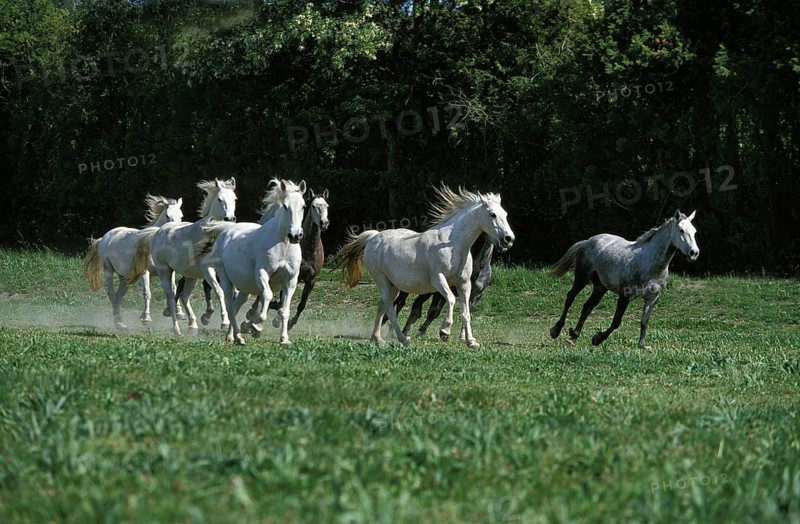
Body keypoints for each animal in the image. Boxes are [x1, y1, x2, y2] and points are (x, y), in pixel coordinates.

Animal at [83, 195, 183, 329]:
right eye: (168, 216)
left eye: (181, 215)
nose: (174, 231)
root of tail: (105, 237)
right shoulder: (144, 272)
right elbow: (147, 293)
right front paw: (146, 318)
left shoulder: (168, 270)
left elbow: (174, 289)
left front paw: (179, 313)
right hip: (108, 270)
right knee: (111, 294)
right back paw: (118, 321)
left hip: (124, 277)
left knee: (118, 296)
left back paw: (120, 322)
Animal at [128, 178, 237, 336]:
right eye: (219, 199)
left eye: (234, 198)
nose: (229, 218)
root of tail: (158, 232)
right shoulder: (207, 270)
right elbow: (219, 292)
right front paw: (224, 322)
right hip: (164, 271)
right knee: (170, 295)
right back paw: (173, 326)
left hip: (190, 275)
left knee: (184, 296)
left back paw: (192, 324)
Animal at [194, 179, 306, 345]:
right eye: (286, 206)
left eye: (303, 206)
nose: (295, 235)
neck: (283, 247)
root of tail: (226, 230)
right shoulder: (262, 273)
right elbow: (267, 296)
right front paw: (255, 327)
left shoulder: (291, 280)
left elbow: (284, 310)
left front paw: (284, 339)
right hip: (225, 279)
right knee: (230, 306)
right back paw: (238, 337)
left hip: (245, 289)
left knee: (235, 306)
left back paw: (232, 336)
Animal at [337, 185, 514, 349]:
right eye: (492, 214)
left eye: (505, 214)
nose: (508, 239)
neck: (454, 244)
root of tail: (373, 237)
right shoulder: (438, 280)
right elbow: (450, 300)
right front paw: (445, 331)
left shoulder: (464, 283)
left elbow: (466, 312)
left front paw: (471, 342)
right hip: (382, 281)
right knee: (390, 308)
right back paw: (403, 338)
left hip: (393, 285)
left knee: (382, 306)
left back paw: (377, 338)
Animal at [549, 210, 699, 348]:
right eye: (681, 230)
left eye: (694, 231)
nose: (694, 253)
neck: (650, 264)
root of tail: (588, 241)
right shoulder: (625, 296)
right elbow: (616, 322)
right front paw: (597, 339)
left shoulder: (652, 298)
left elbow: (644, 322)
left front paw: (642, 345)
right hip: (582, 277)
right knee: (570, 297)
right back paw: (556, 330)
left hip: (600, 286)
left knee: (587, 306)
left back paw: (573, 336)